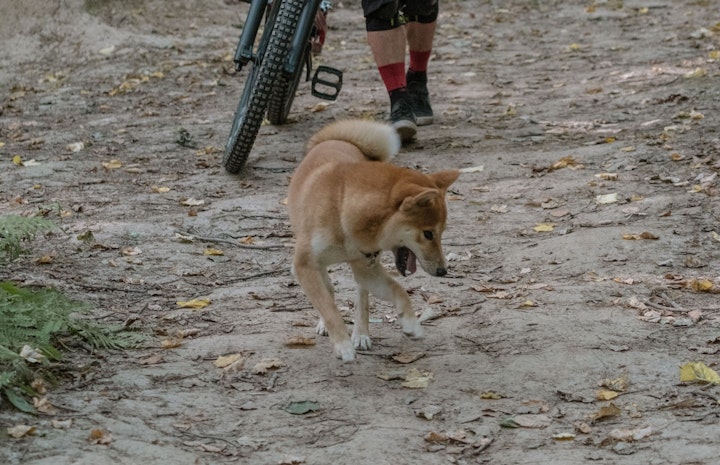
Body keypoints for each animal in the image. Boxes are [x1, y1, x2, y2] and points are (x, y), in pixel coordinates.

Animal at [286, 118, 458, 360]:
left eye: (441, 232)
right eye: (428, 234)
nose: (443, 271)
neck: (340, 204)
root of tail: (337, 139)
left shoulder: (366, 267)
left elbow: (398, 290)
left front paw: (411, 324)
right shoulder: (304, 265)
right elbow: (328, 307)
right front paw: (342, 344)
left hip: (363, 272)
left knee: (362, 298)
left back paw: (361, 334)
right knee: (328, 290)